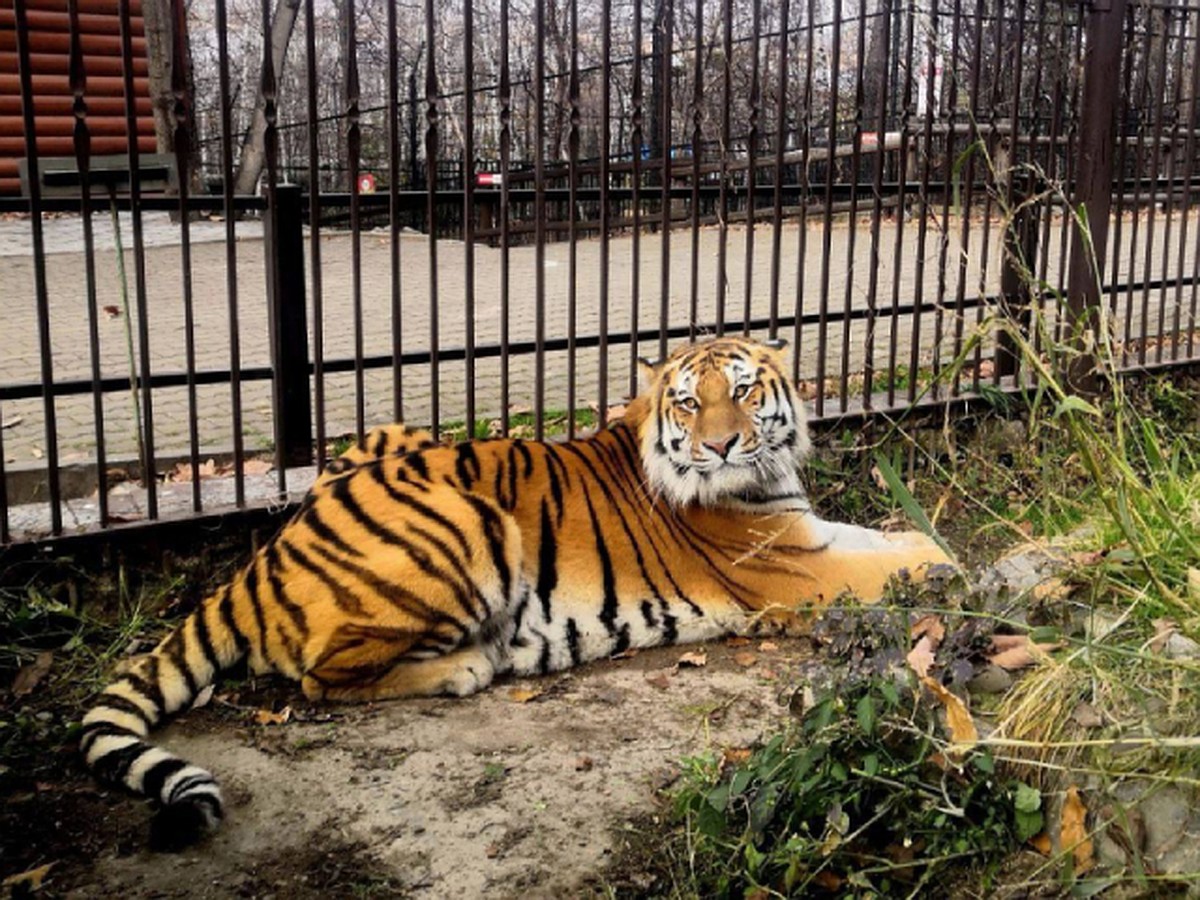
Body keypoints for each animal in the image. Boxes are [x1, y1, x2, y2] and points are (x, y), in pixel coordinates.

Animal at [77, 336, 955, 854]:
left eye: (742, 392)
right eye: (687, 401)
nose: (720, 446)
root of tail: (264, 558)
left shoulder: (809, 532)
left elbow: (893, 535)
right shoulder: (799, 569)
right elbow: (911, 559)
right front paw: (963, 567)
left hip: (390, 437)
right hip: (470, 522)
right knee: (321, 677)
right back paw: (471, 663)